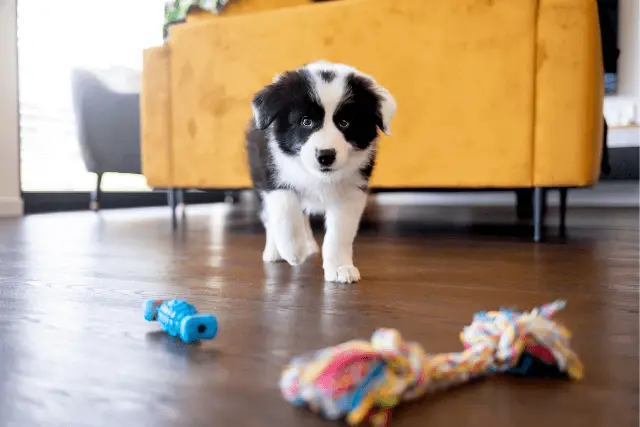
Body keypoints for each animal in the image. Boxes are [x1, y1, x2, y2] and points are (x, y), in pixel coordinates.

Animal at [245, 59, 396, 280]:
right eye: (306, 121)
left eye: (345, 123)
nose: (326, 156)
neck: (317, 177)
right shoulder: (271, 172)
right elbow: (285, 207)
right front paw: (294, 250)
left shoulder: (352, 189)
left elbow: (339, 232)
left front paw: (341, 267)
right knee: (270, 216)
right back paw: (276, 251)